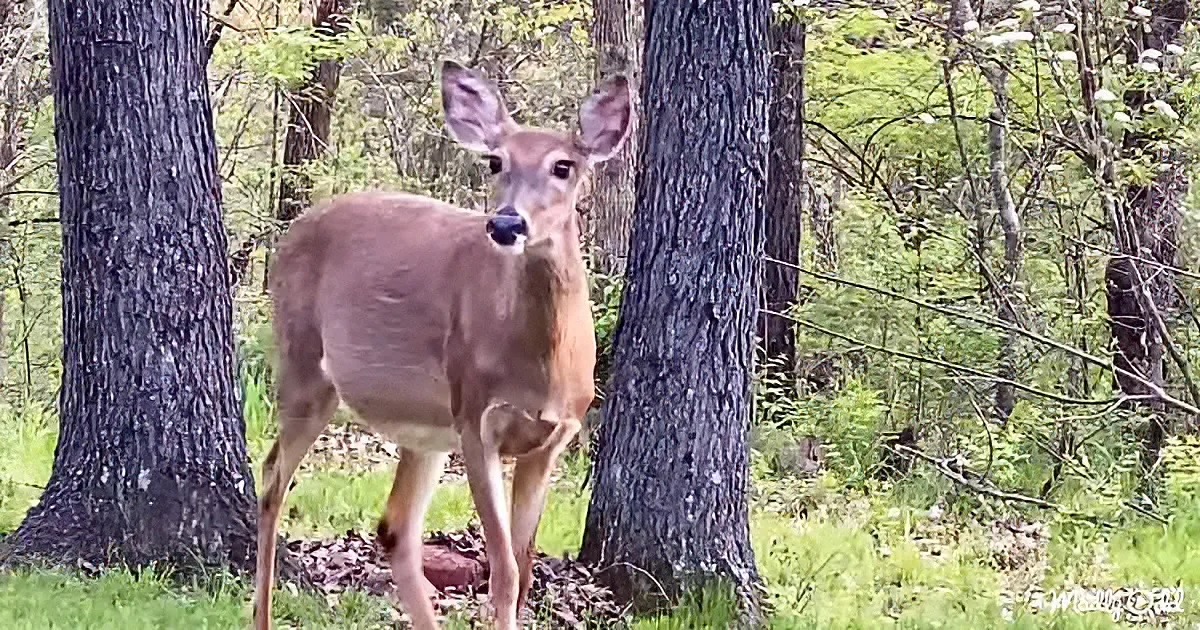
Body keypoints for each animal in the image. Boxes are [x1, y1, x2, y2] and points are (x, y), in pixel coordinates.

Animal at [252, 60, 633, 630]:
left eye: (564, 166)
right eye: (496, 161)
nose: (506, 222)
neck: (541, 366)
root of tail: (291, 231)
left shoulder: (554, 438)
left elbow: (524, 567)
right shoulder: (475, 417)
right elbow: (504, 570)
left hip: (425, 427)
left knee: (395, 527)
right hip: (306, 366)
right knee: (273, 476)